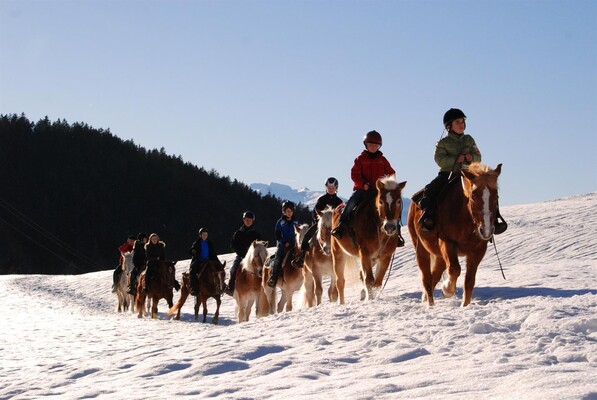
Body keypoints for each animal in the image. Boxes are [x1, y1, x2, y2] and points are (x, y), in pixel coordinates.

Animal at [330, 175, 406, 304]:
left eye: (399, 201)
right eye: (381, 201)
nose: (390, 227)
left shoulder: (385, 257)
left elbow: (377, 282)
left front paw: (370, 296)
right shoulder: (365, 253)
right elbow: (369, 280)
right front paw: (369, 299)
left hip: (373, 259)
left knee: (361, 275)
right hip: (338, 253)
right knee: (340, 281)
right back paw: (342, 303)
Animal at [408, 162, 500, 306]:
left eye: (496, 196)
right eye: (473, 196)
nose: (486, 230)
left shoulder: (478, 250)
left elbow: (469, 280)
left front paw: (465, 306)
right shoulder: (447, 243)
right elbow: (454, 269)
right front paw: (447, 289)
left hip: (439, 255)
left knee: (434, 276)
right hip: (421, 248)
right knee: (427, 278)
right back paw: (430, 304)